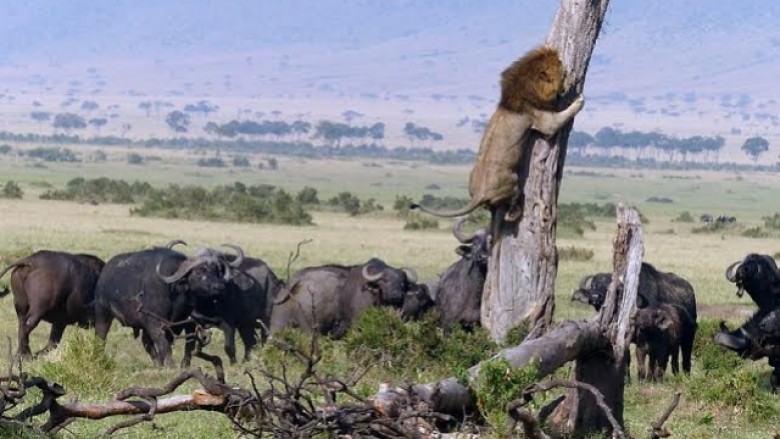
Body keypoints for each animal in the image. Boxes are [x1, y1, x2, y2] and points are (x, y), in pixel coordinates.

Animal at [95, 248, 235, 368]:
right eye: (199, 271)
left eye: (217, 271)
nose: (220, 286)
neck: (175, 295)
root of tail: (105, 272)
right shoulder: (155, 323)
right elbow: (164, 345)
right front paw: (170, 365)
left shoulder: (186, 323)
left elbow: (188, 344)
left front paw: (183, 365)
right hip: (103, 313)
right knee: (101, 336)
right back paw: (99, 357)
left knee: (147, 342)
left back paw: (158, 364)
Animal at [272, 260, 424, 338]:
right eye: (385, 280)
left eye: (402, 283)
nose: (396, 295)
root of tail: (298, 279)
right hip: (311, 329)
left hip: (279, 323)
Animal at [414, 45, 584, 220]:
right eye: (561, 72)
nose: (570, 73)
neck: (526, 88)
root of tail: (479, 193)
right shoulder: (542, 120)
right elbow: (561, 117)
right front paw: (578, 99)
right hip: (512, 181)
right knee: (511, 207)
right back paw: (517, 212)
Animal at [568, 262, 696, 380]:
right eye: (593, 286)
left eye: (608, 286)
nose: (595, 297)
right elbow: (626, 357)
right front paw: (626, 380)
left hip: (688, 336)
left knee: (685, 356)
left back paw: (684, 376)